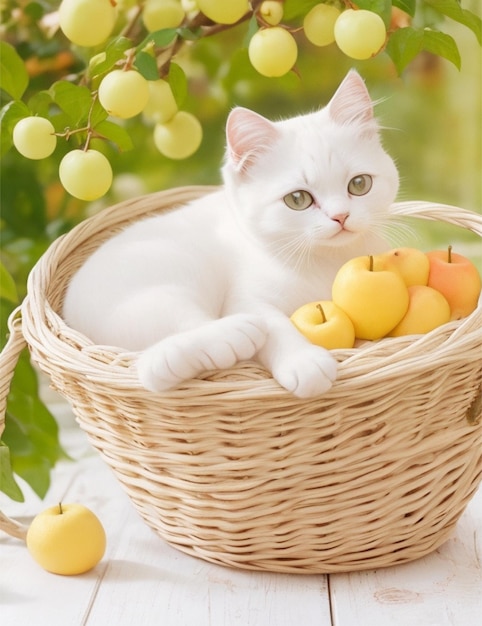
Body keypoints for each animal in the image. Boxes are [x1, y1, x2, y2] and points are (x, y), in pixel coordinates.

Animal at [62, 70, 398, 398]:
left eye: (359, 184)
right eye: (298, 199)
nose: (341, 216)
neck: (325, 261)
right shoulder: (244, 297)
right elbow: (274, 325)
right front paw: (303, 361)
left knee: (154, 367)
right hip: (168, 280)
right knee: (173, 346)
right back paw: (237, 334)